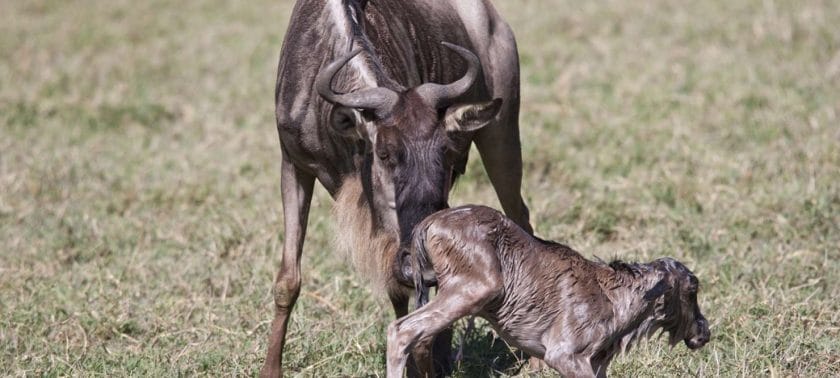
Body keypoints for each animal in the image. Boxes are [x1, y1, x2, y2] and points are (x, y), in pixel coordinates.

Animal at [388, 205, 708, 376]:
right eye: (693, 288)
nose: (704, 332)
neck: (618, 300)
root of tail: (428, 224)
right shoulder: (564, 354)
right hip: (476, 288)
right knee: (402, 330)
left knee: (420, 337)